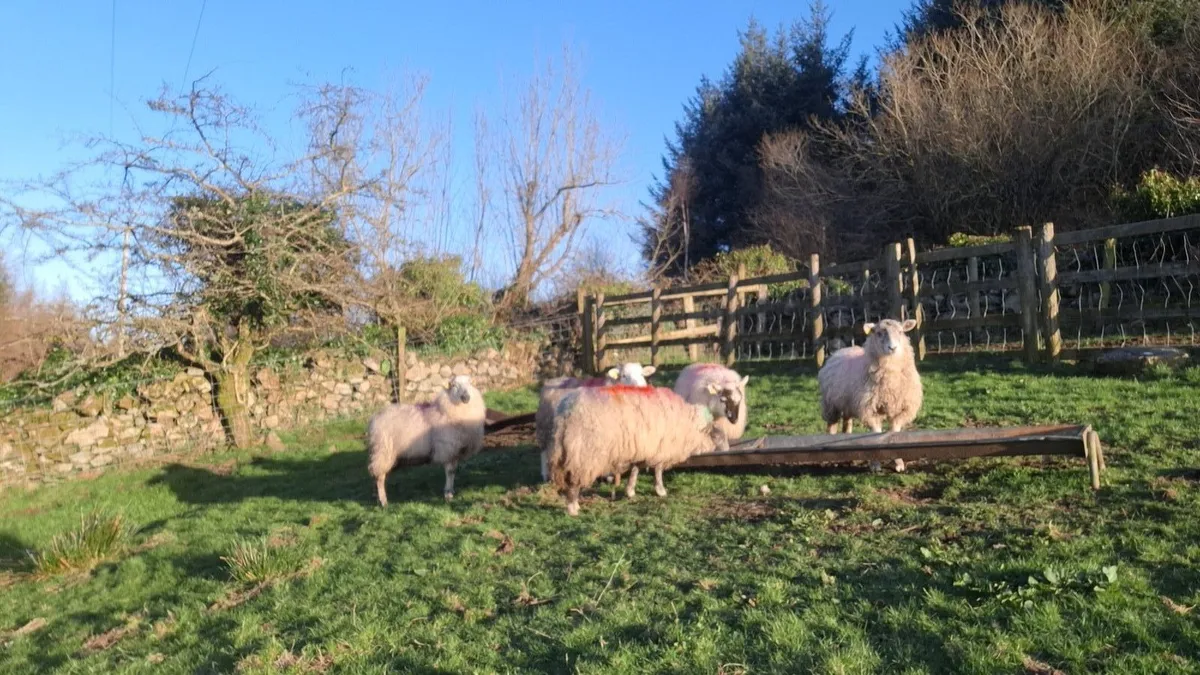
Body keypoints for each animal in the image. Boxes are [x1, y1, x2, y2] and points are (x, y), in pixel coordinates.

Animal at [366, 375, 487, 506]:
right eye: (454, 385)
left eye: (470, 383)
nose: (466, 397)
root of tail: (374, 418)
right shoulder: (447, 448)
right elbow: (450, 472)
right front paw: (448, 494)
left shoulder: (455, 451)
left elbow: (454, 471)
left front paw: (451, 492)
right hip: (383, 450)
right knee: (380, 476)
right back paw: (383, 501)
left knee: (376, 475)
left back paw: (377, 498)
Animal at [548, 385, 724, 515]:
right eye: (709, 431)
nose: (714, 446)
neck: (685, 423)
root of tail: (567, 412)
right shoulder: (659, 447)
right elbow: (658, 470)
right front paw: (660, 490)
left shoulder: (641, 447)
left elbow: (635, 469)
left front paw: (630, 491)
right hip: (584, 453)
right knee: (573, 481)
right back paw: (573, 508)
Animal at [817, 318, 923, 473]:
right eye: (878, 333)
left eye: (901, 332)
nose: (892, 348)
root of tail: (844, 349)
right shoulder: (868, 409)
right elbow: (875, 435)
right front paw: (875, 464)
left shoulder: (902, 409)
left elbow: (894, 432)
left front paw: (898, 463)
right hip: (830, 404)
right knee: (832, 425)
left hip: (847, 403)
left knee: (847, 423)